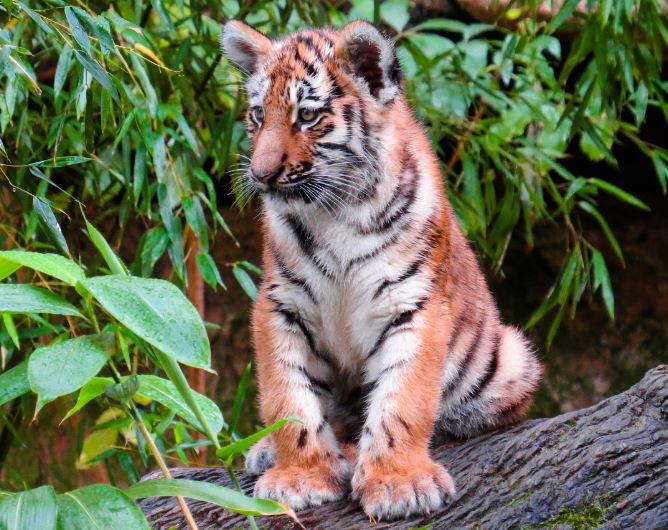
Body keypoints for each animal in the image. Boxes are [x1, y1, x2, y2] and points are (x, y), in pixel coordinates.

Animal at [221, 19, 542, 520]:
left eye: (306, 116)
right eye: (257, 115)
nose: (261, 174)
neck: (334, 210)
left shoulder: (415, 303)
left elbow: (403, 400)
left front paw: (398, 483)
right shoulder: (280, 305)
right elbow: (288, 398)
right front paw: (301, 475)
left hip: (511, 359)